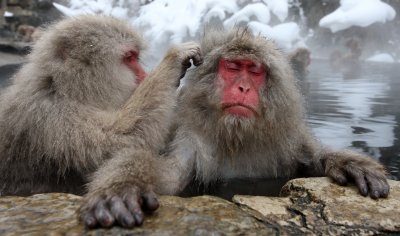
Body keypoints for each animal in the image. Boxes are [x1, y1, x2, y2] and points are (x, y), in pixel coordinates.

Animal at [0, 14, 202, 197]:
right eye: (129, 58)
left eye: (135, 57)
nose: (144, 74)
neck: (68, 91)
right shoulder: (52, 117)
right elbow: (120, 144)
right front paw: (174, 59)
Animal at [79, 27, 390, 229]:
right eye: (232, 67)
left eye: (254, 71)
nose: (242, 88)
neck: (236, 138)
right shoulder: (190, 145)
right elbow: (167, 178)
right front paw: (123, 186)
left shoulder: (288, 142)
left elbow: (308, 161)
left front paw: (347, 163)